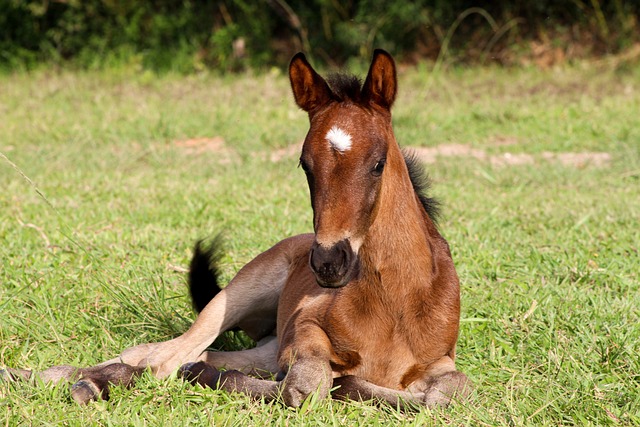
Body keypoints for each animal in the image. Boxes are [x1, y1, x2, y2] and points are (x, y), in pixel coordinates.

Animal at [3, 49, 470, 408]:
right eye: (305, 165)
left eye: (377, 163)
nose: (328, 263)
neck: (395, 300)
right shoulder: (303, 330)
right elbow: (308, 387)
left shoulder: (440, 361)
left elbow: (447, 394)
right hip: (241, 291)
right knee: (159, 356)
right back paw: (63, 380)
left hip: (265, 344)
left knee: (196, 357)